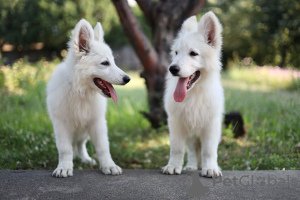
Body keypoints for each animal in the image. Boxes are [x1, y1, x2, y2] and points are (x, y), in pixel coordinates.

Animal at [46, 18, 129, 177]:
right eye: (105, 63)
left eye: (113, 62)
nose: (128, 79)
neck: (81, 91)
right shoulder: (61, 125)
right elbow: (65, 149)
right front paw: (64, 167)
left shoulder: (97, 123)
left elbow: (103, 148)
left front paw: (109, 165)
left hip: (85, 130)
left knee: (80, 143)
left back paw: (85, 159)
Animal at [163, 11, 224, 177]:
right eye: (176, 52)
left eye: (193, 53)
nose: (172, 69)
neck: (194, 93)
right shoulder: (176, 123)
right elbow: (176, 149)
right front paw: (173, 166)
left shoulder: (211, 126)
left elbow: (209, 151)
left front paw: (210, 168)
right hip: (190, 134)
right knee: (191, 151)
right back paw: (191, 166)